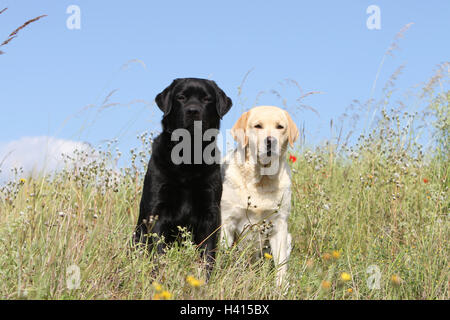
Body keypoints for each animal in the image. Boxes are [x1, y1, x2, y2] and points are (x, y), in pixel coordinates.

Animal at [134, 77, 232, 276]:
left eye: (206, 99)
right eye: (181, 97)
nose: (193, 110)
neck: (188, 157)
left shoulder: (210, 212)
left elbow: (208, 253)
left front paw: (205, 279)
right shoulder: (157, 210)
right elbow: (158, 251)